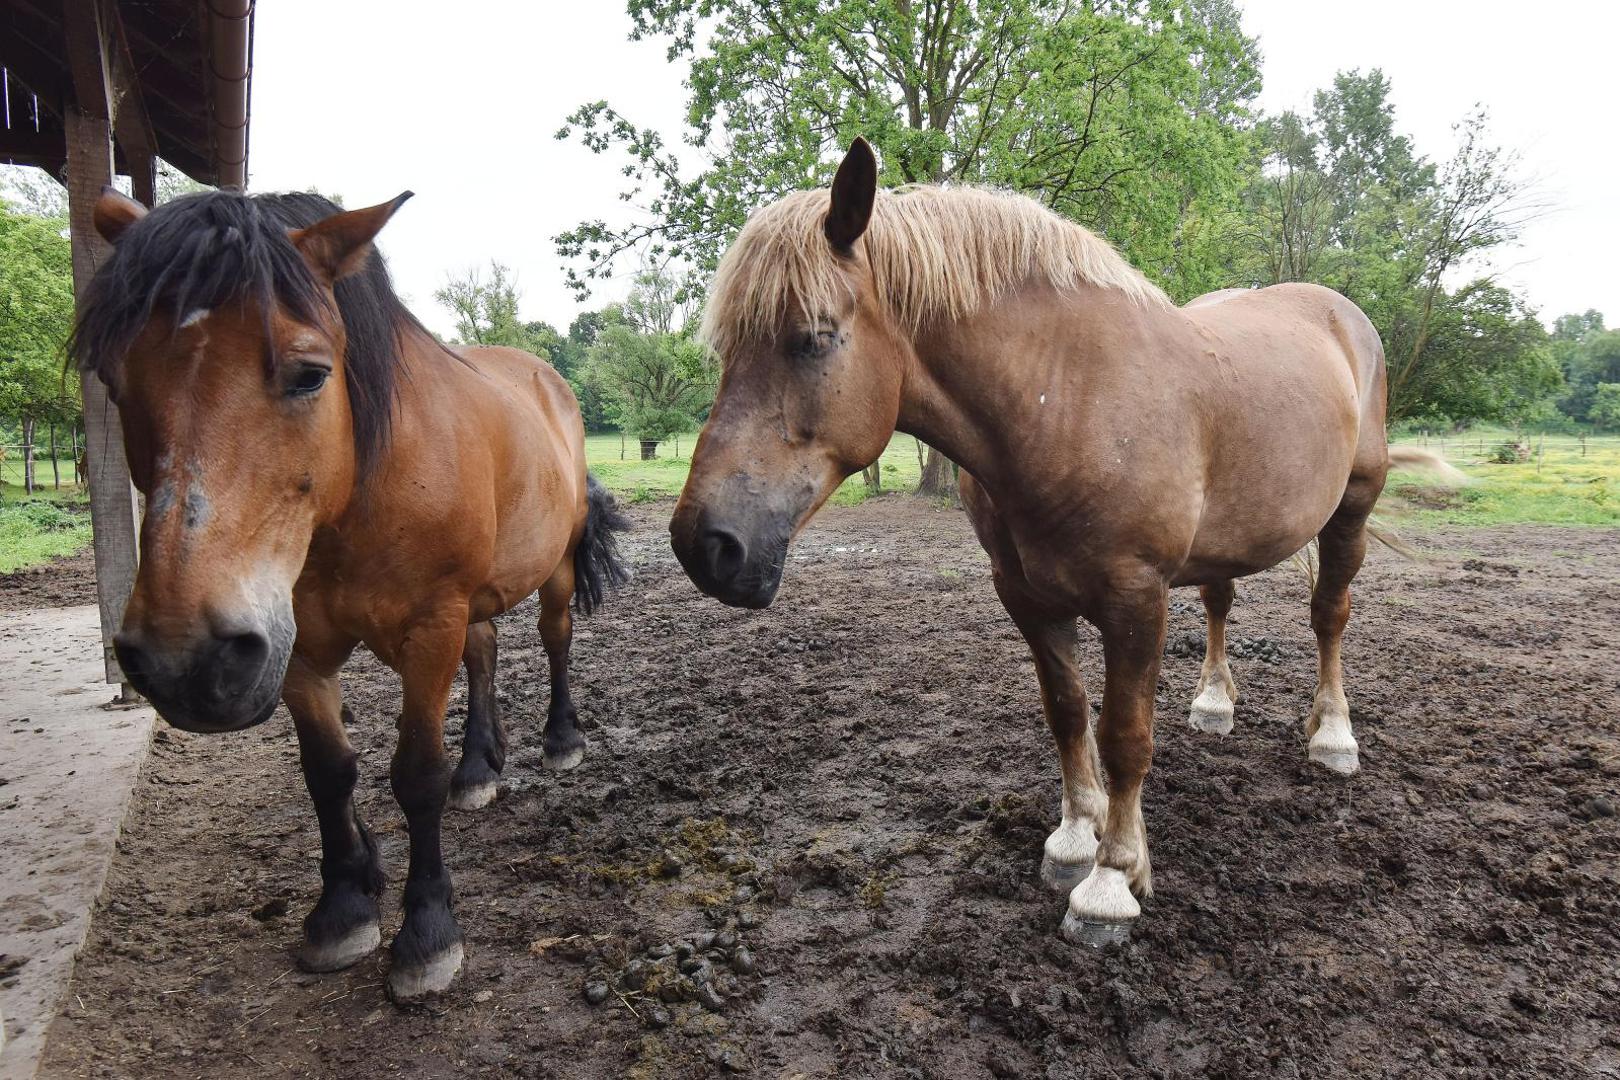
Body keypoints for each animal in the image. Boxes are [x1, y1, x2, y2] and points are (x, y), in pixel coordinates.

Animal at [78, 190, 628, 1003]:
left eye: (310, 374)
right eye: (117, 381)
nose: (183, 660)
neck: (366, 488)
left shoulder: (429, 626)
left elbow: (416, 774)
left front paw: (427, 933)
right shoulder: (294, 645)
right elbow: (329, 772)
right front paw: (343, 905)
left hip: (551, 570)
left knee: (554, 640)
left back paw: (561, 739)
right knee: (485, 653)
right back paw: (480, 767)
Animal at [664, 141, 1451, 945]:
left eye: (814, 337)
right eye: (726, 349)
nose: (706, 546)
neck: (1064, 398)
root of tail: (1339, 314)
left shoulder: (1135, 598)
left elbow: (1125, 736)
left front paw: (1111, 880)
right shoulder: (1027, 595)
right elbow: (1068, 713)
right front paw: (1076, 840)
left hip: (1351, 508)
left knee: (1330, 616)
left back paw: (1334, 738)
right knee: (1220, 602)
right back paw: (1214, 704)